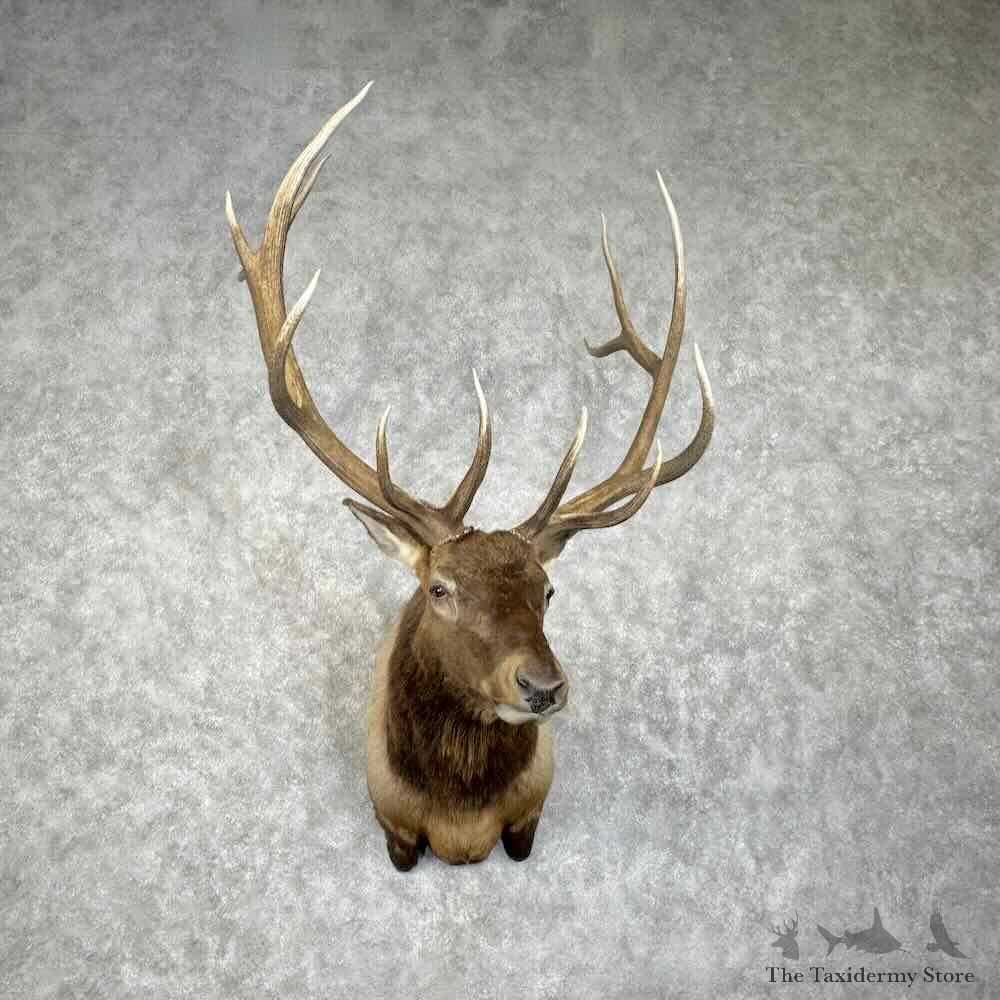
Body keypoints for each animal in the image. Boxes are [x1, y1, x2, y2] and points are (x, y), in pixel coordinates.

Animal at [224, 82, 714, 870]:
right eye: (440, 589)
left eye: (548, 589)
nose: (542, 687)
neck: (461, 823)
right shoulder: (391, 822)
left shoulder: (529, 815)